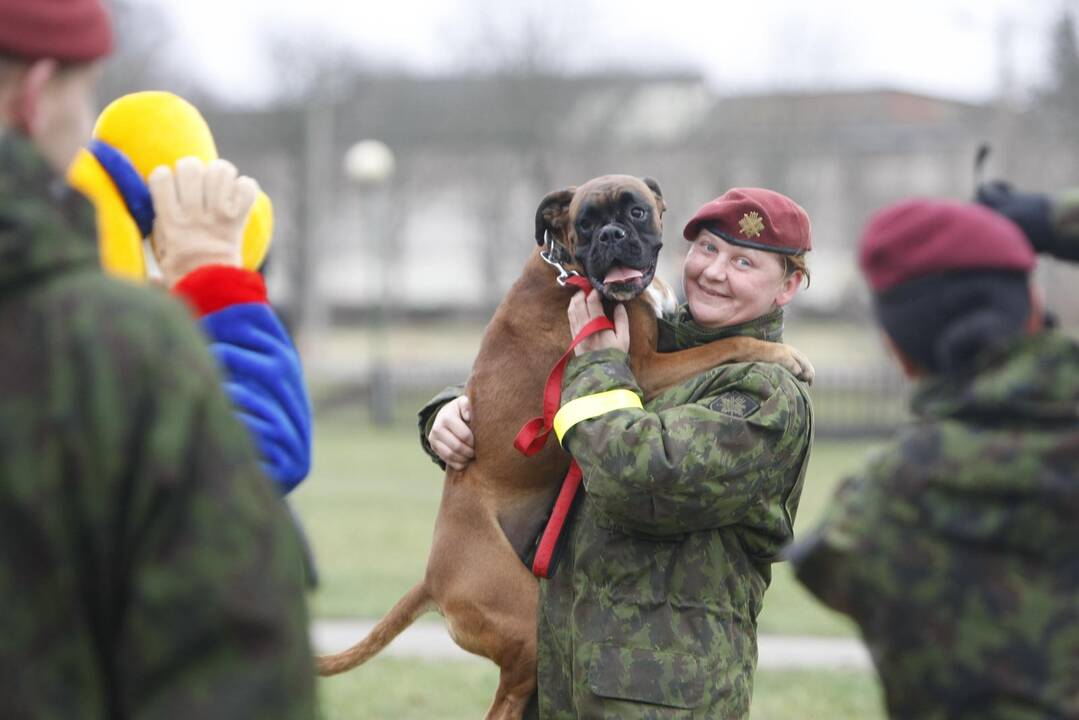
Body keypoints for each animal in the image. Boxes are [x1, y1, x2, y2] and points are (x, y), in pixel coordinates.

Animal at [315, 175, 811, 720]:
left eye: (636, 212)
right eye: (586, 223)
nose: (612, 235)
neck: (569, 273)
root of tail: (432, 578)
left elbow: (709, 341)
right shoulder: (646, 367)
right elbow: (725, 344)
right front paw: (782, 353)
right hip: (520, 623)